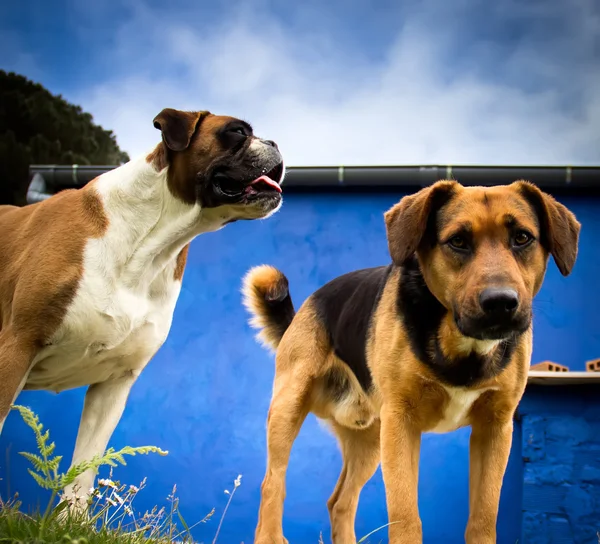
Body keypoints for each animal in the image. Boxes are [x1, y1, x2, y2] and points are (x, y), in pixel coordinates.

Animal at [0, 107, 286, 510]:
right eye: (236, 131)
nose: (276, 142)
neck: (152, 241)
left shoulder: (114, 384)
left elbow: (84, 472)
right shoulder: (17, 346)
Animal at [241, 181, 580, 544]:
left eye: (522, 238)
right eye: (458, 241)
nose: (501, 303)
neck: (461, 344)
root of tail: (308, 303)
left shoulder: (495, 428)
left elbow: (483, 519)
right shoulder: (401, 423)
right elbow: (405, 517)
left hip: (370, 439)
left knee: (340, 502)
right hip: (290, 407)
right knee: (272, 483)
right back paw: (270, 534)